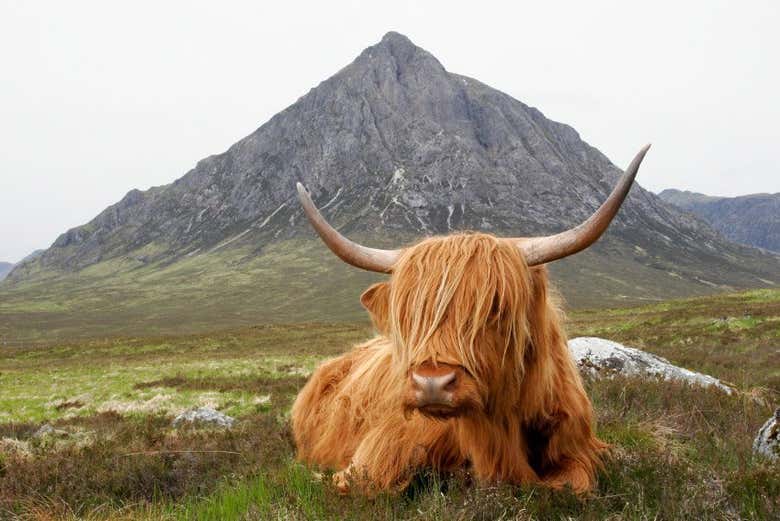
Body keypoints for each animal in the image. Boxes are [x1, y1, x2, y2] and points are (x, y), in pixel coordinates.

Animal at [291, 144, 650, 494]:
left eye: (495, 307)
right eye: (409, 314)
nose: (432, 384)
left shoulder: (580, 447)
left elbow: (573, 485)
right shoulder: (382, 446)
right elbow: (369, 481)